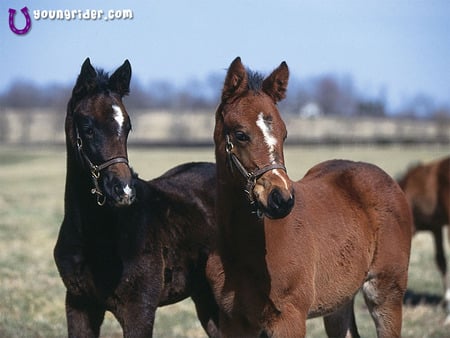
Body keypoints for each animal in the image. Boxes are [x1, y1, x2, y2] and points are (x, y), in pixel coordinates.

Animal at [206, 56, 414, 336]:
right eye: (240, 134)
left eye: (284, 134)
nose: (281, 199)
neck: (243, 246)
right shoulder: (233, 320)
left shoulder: (289, 318)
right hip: (340, 300)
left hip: (386, 290)